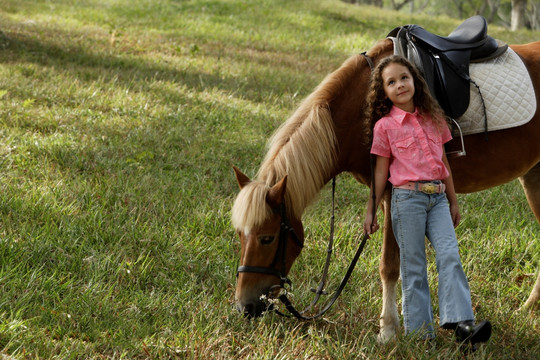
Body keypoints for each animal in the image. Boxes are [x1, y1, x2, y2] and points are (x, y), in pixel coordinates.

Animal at [230, 37, 536, 344]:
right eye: (240, 235)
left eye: (267, 238)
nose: (245, 306)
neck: (360, 109)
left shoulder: (391, 194)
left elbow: (389, 265)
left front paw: (387, 330)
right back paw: (528, 308)